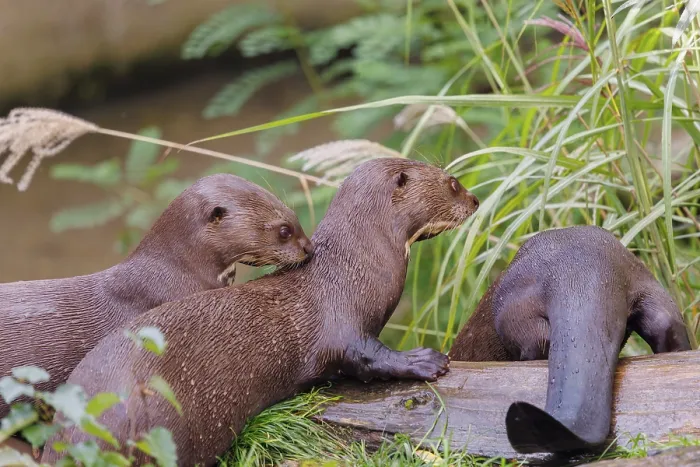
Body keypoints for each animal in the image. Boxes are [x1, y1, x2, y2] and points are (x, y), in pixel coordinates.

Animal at [39, 158, 479, 466]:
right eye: (453, 182)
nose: (475, 200)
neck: (352, 267)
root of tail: (88, 427)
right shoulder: (340, 323)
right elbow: (366, 356)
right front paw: (425, 360)